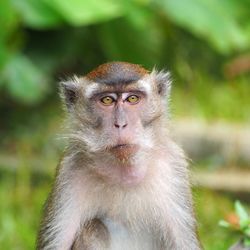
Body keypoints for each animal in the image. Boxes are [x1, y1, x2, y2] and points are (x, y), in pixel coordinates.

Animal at [36, 61, 201, 249]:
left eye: (132, 99)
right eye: (107, 100)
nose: (121, 124)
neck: (124, 172)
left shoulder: (173, 165)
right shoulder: (69, 170)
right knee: (93, 228)